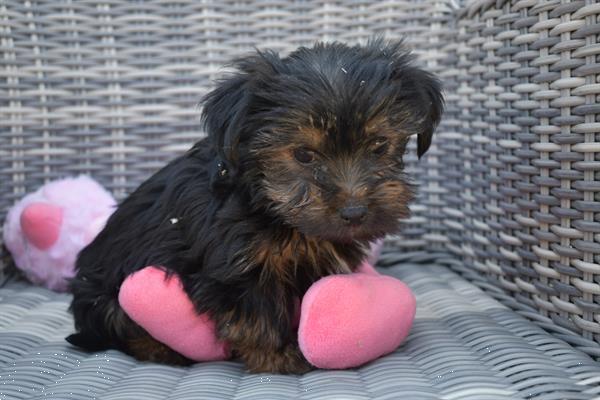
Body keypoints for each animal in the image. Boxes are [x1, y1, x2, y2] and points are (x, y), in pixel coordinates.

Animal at [67, 39, 446, 374]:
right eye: (304, 155)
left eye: (379, 145)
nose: (354, 212)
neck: (272, 208)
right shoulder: (236, 269)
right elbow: (256, 316)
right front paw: (279, 357)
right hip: (106, 297)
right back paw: (161, 348)